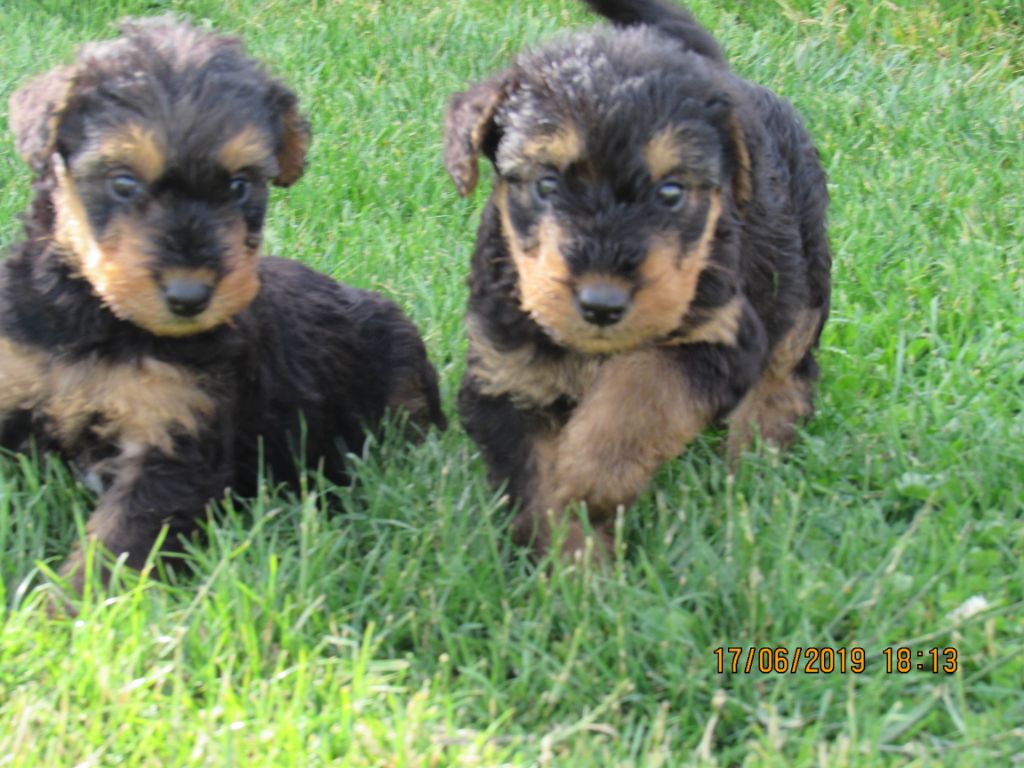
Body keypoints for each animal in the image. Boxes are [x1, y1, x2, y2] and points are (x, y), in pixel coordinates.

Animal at [3, 16, 444, 593]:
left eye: (239, 185)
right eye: (123, 182)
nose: (189, 297)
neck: (96, 320)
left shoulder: (172, 445)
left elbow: (109, 553)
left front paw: (63, 610)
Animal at [448, 0, 831, 561]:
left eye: (670, 191)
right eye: (546, 184)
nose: (602, 304)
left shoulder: (723, 335)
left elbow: (641, 393)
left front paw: (590, 477)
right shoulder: (506, 382)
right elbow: (539, 489)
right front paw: (578, 568)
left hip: (802, 265)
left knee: (791, 365)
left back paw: (760, 445)